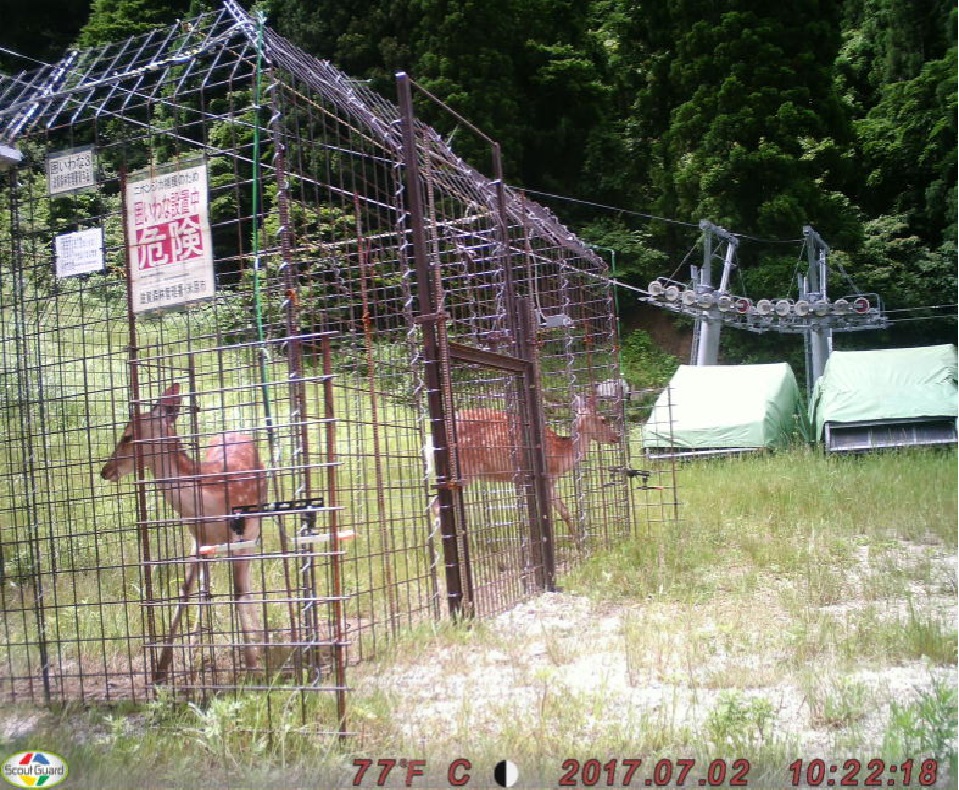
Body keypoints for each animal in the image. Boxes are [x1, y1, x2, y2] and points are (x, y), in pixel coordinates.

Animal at [100, 384, 266, 680]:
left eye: (128, 436)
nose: (104, 471)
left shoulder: (241, 533)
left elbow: (238, 590)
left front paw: (253, 668)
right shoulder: (197, 537)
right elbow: (186, 590)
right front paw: (161, 668)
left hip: (254, 529)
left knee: (245, 582)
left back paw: (263, 641)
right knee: (205, 588)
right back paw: (197, 648)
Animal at [444, 396, 620, 540]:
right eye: (603, 420)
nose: (617, 436)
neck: (561, 455)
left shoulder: (547, 481)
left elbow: (564, 511)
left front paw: (580, 545)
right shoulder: (545, 478)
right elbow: (546, 515)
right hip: (465, 468)